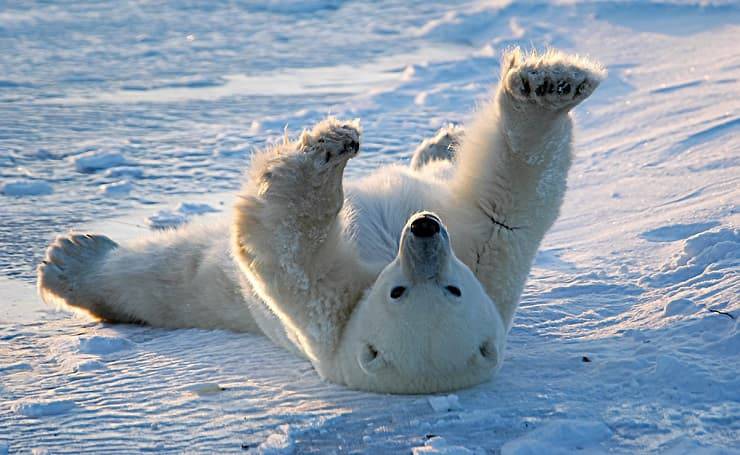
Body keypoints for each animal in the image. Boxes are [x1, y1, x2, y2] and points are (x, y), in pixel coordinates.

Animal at [37, 48, 605, 393]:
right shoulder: (485, 256)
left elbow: (286, 245)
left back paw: (69, 260)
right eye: (400, 290)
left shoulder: (334, 314)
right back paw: (442, 141)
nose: (424, 228)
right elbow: (508, 199)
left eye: (449, 292)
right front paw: (550, 85)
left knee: (166, 276)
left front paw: (320, 159)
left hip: (213, 291)